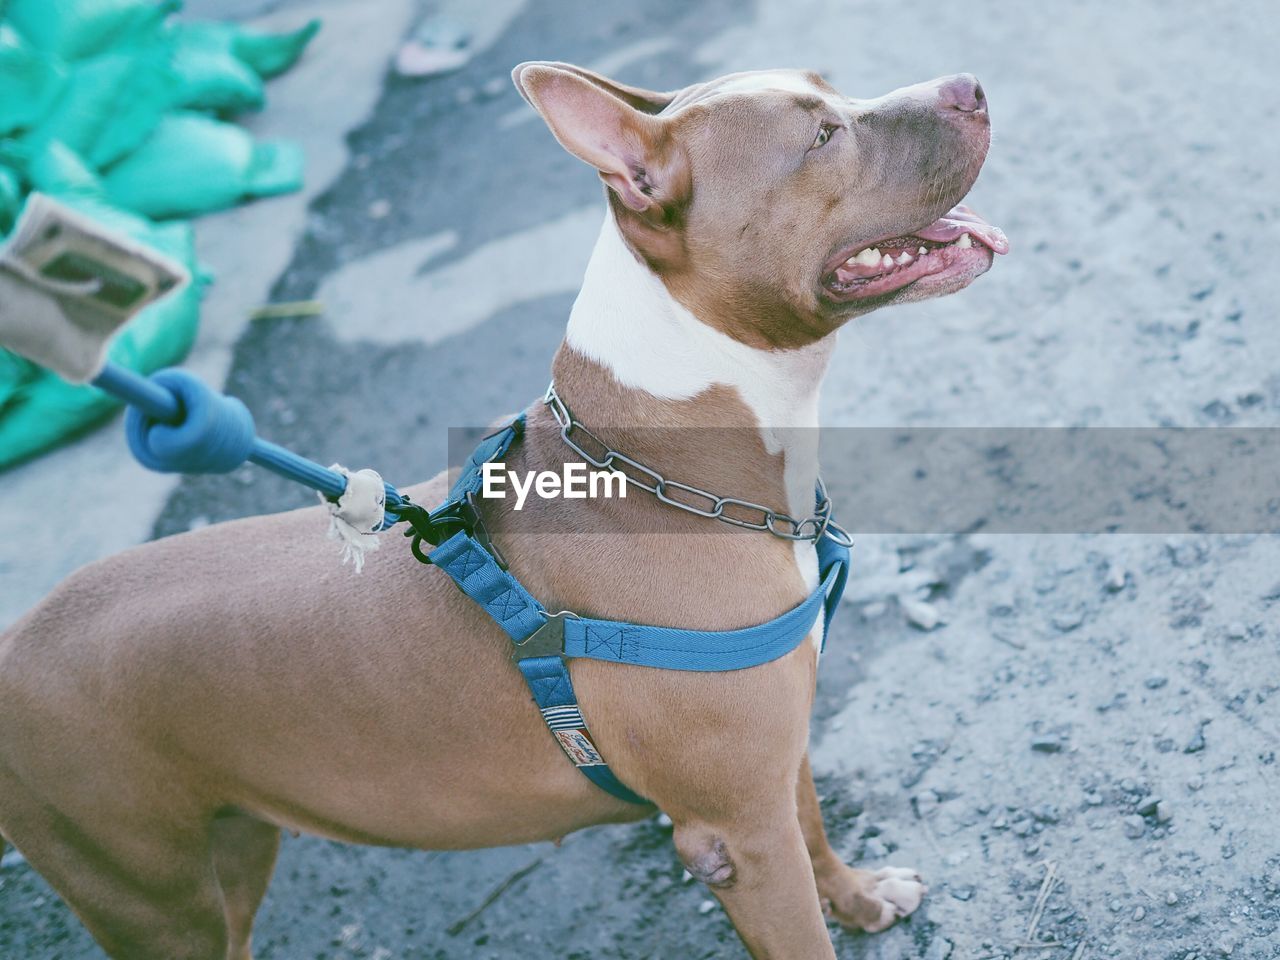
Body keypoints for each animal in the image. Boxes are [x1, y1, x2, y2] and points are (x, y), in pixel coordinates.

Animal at [0, 64, 998, 957]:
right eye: (823, 138)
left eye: (835, 93)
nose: (970, 87)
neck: (664, 461)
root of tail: (18, 639)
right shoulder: (738, 836)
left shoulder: (777, 763)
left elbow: (817, 828)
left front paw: (861, 899)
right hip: (155, 896)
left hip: (230, 852)